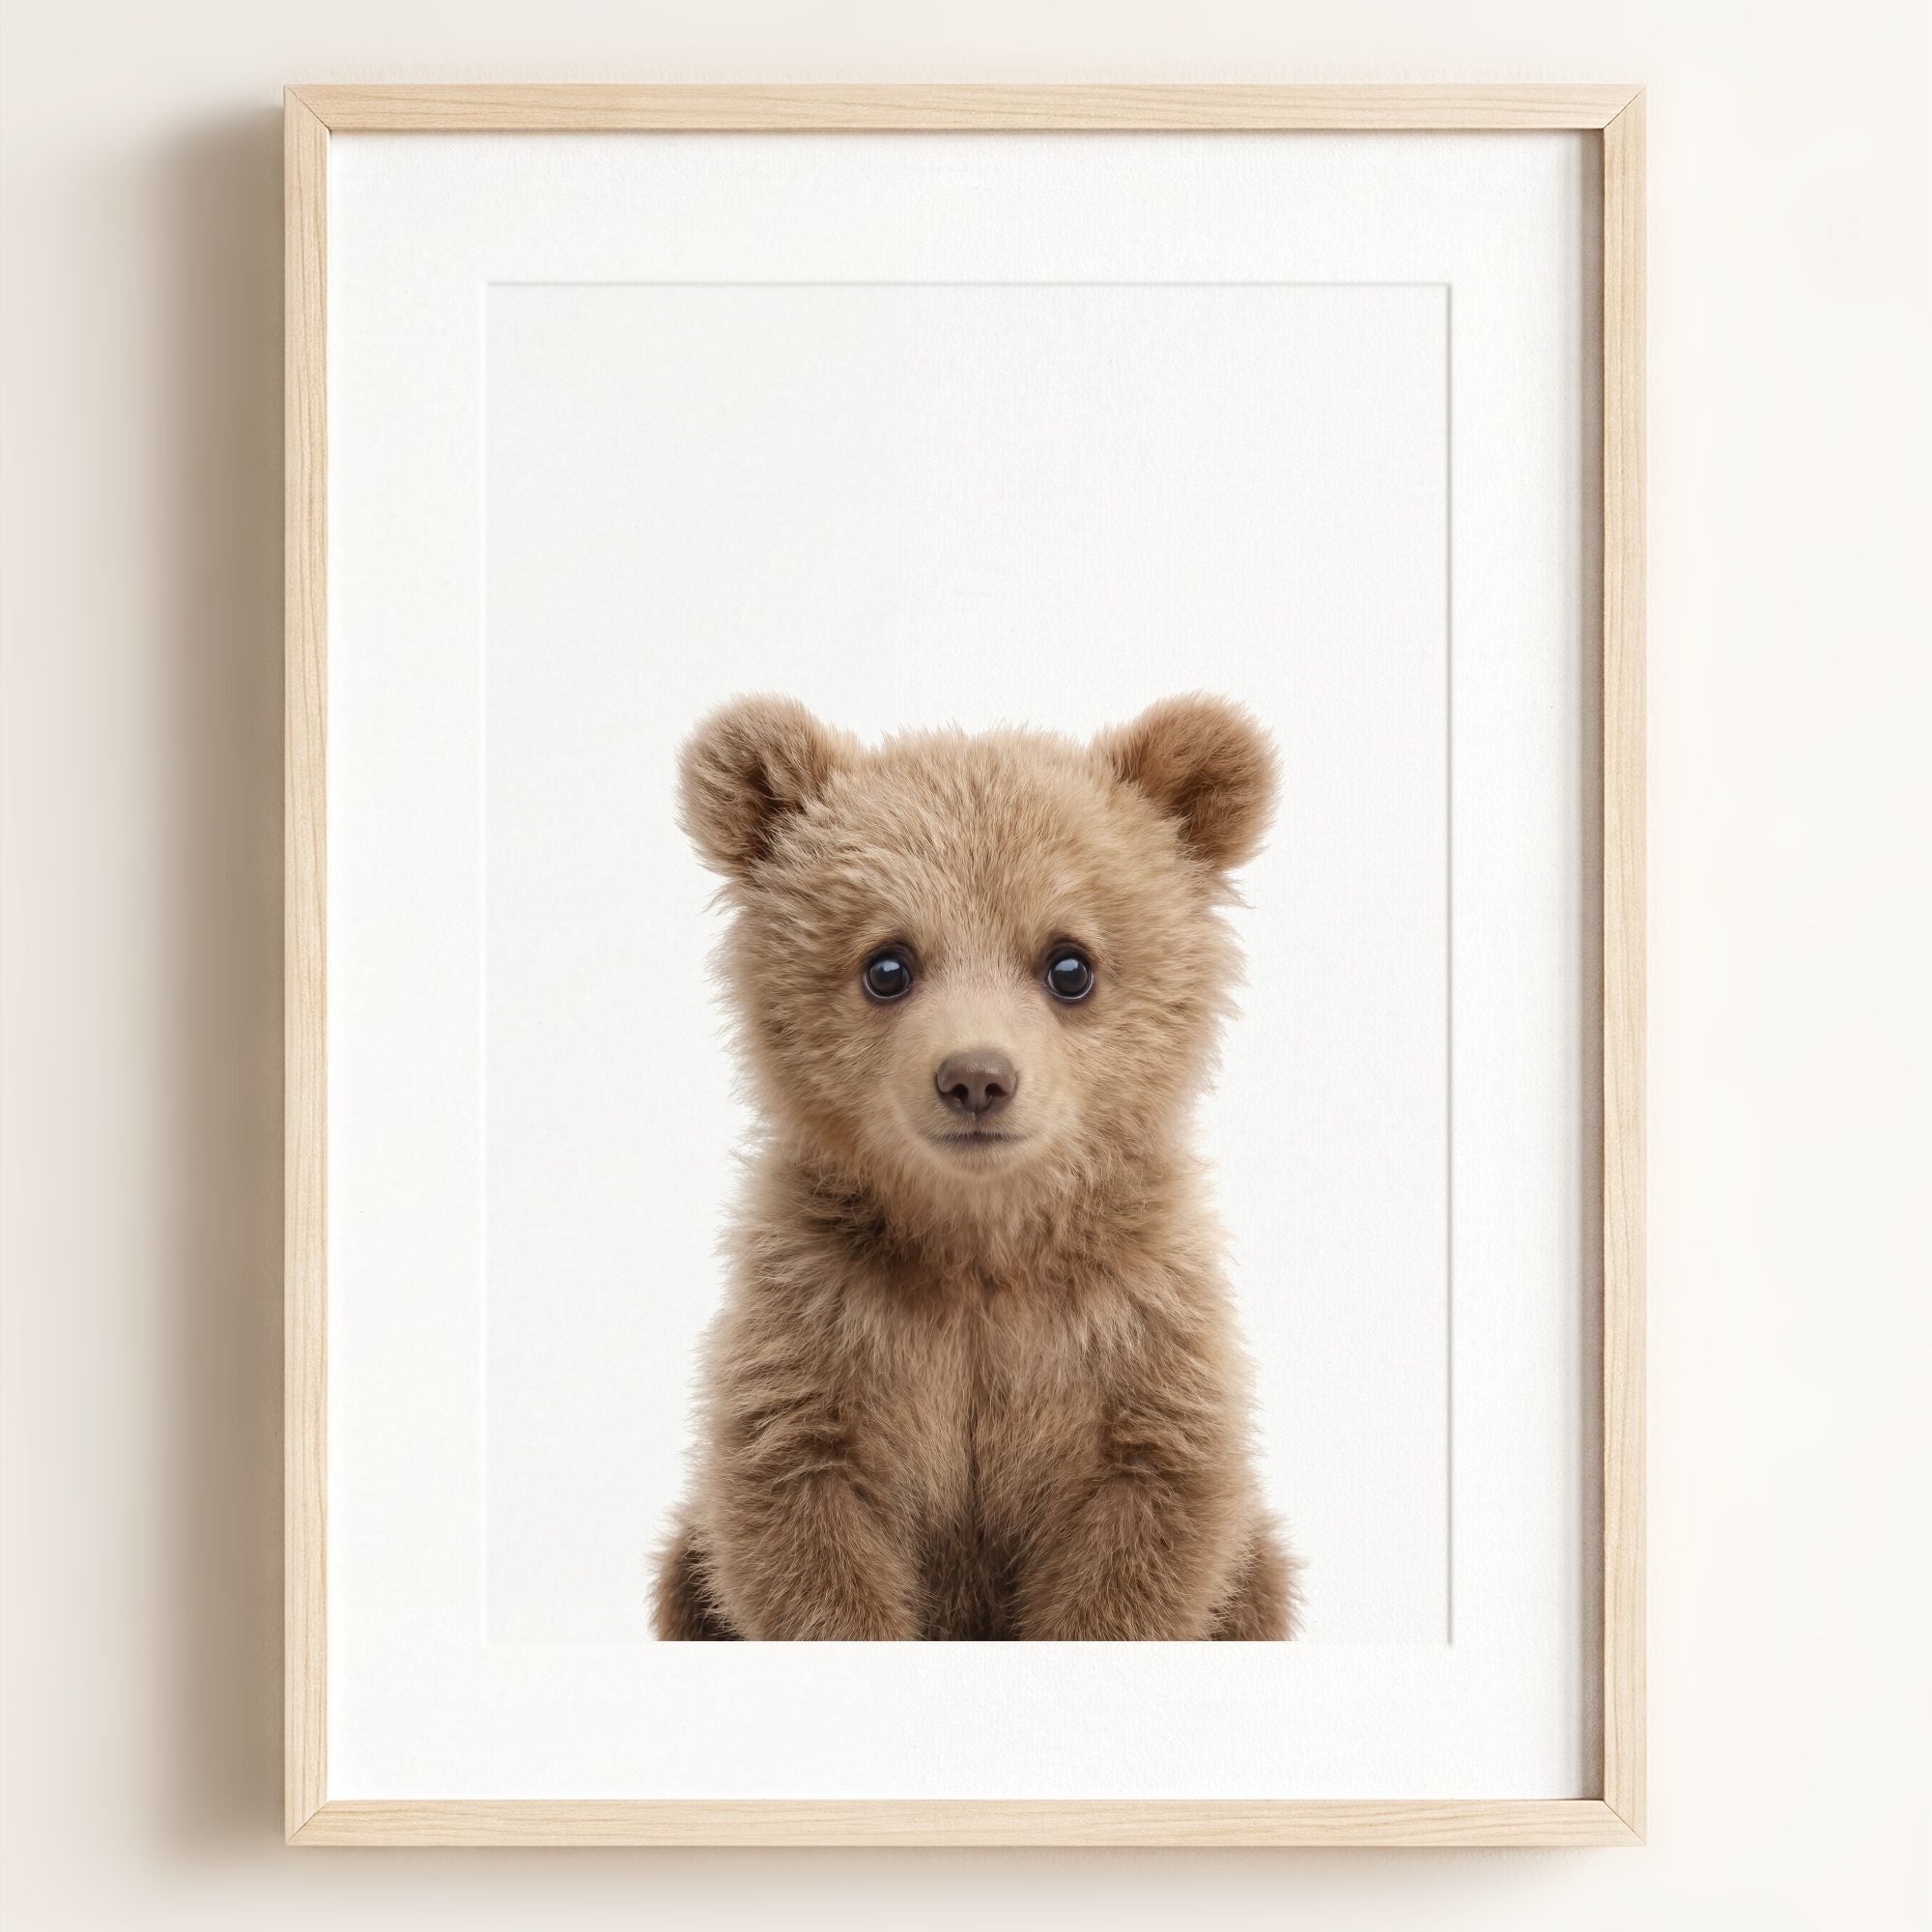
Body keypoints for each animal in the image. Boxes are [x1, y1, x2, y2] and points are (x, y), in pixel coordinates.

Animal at [652, 692, 1298, 1641]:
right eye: (887, 964)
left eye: (1070, 964)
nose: (976, 1078)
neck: (978, 1241)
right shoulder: (820, 1324)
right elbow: (800, 1519)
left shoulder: (1133, 1334)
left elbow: (1146, 1524)